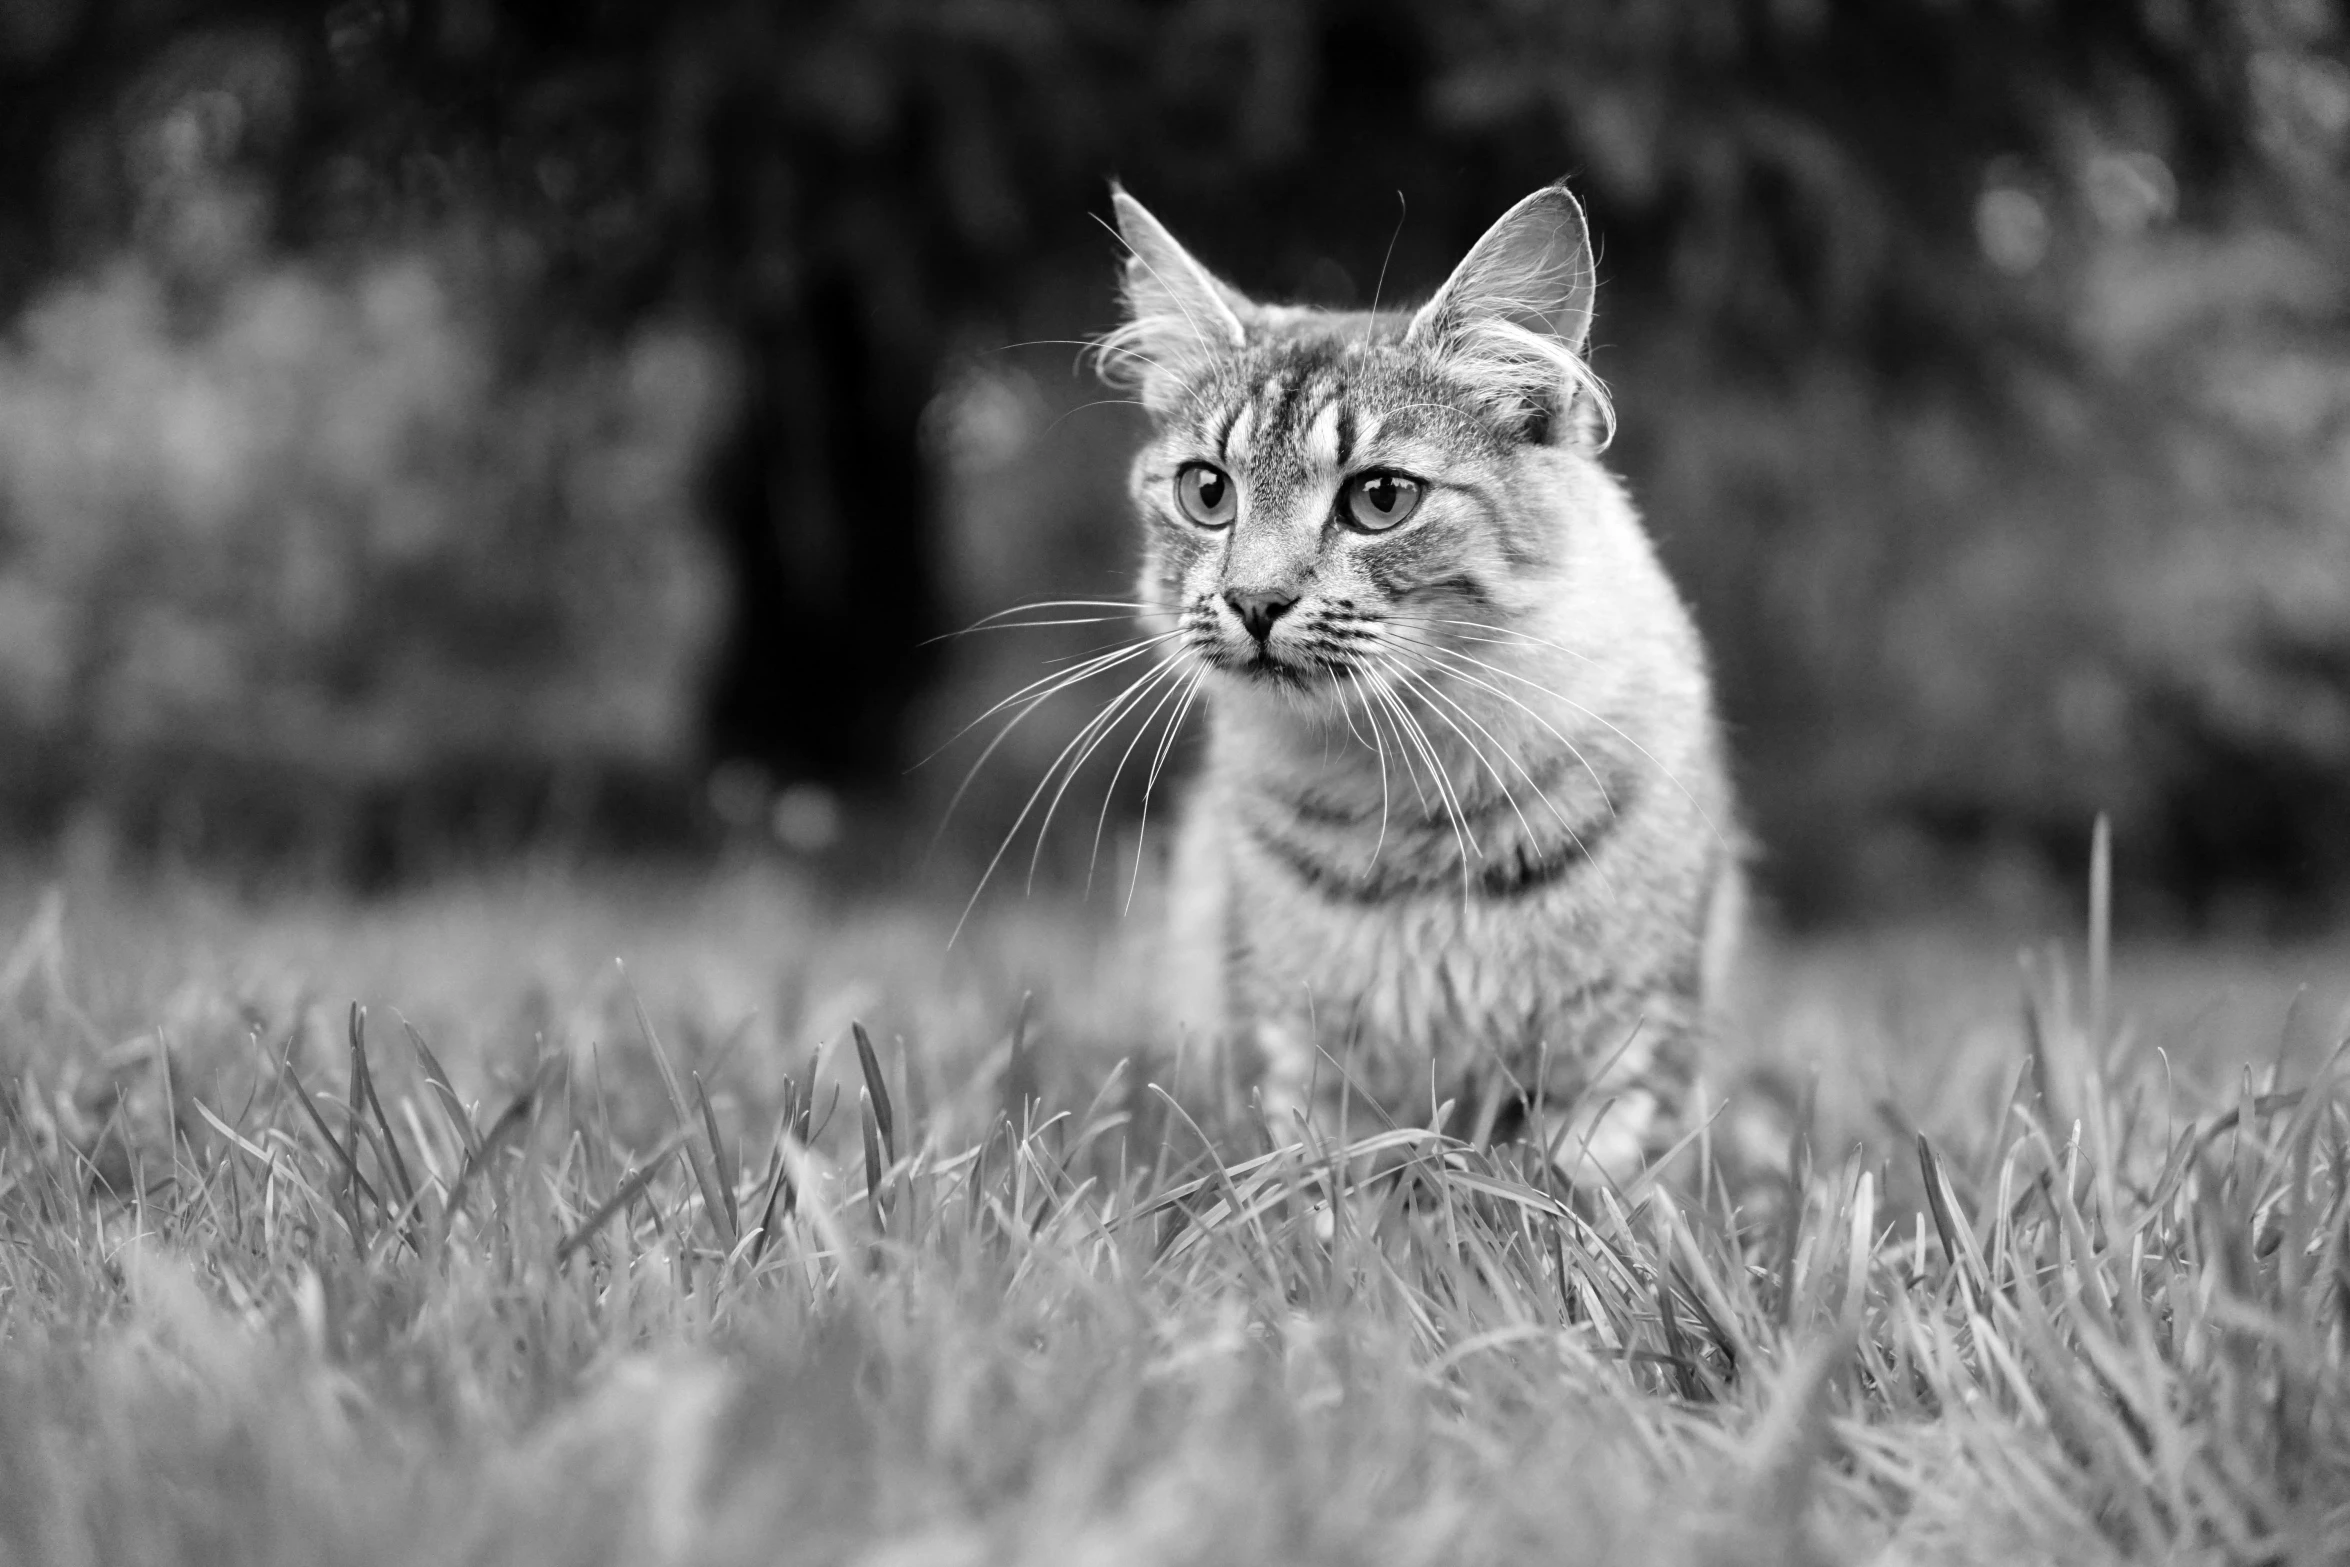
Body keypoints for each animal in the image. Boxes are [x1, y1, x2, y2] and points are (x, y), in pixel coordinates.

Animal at [1090, 184, 1738, 1184]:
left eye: (1381, 498)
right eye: (1208, 492)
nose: (1254, 600)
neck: (1402, 796)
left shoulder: (1626, 1039)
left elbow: (1585, 1193)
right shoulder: (1299, 1042)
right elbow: (1324, 1183)